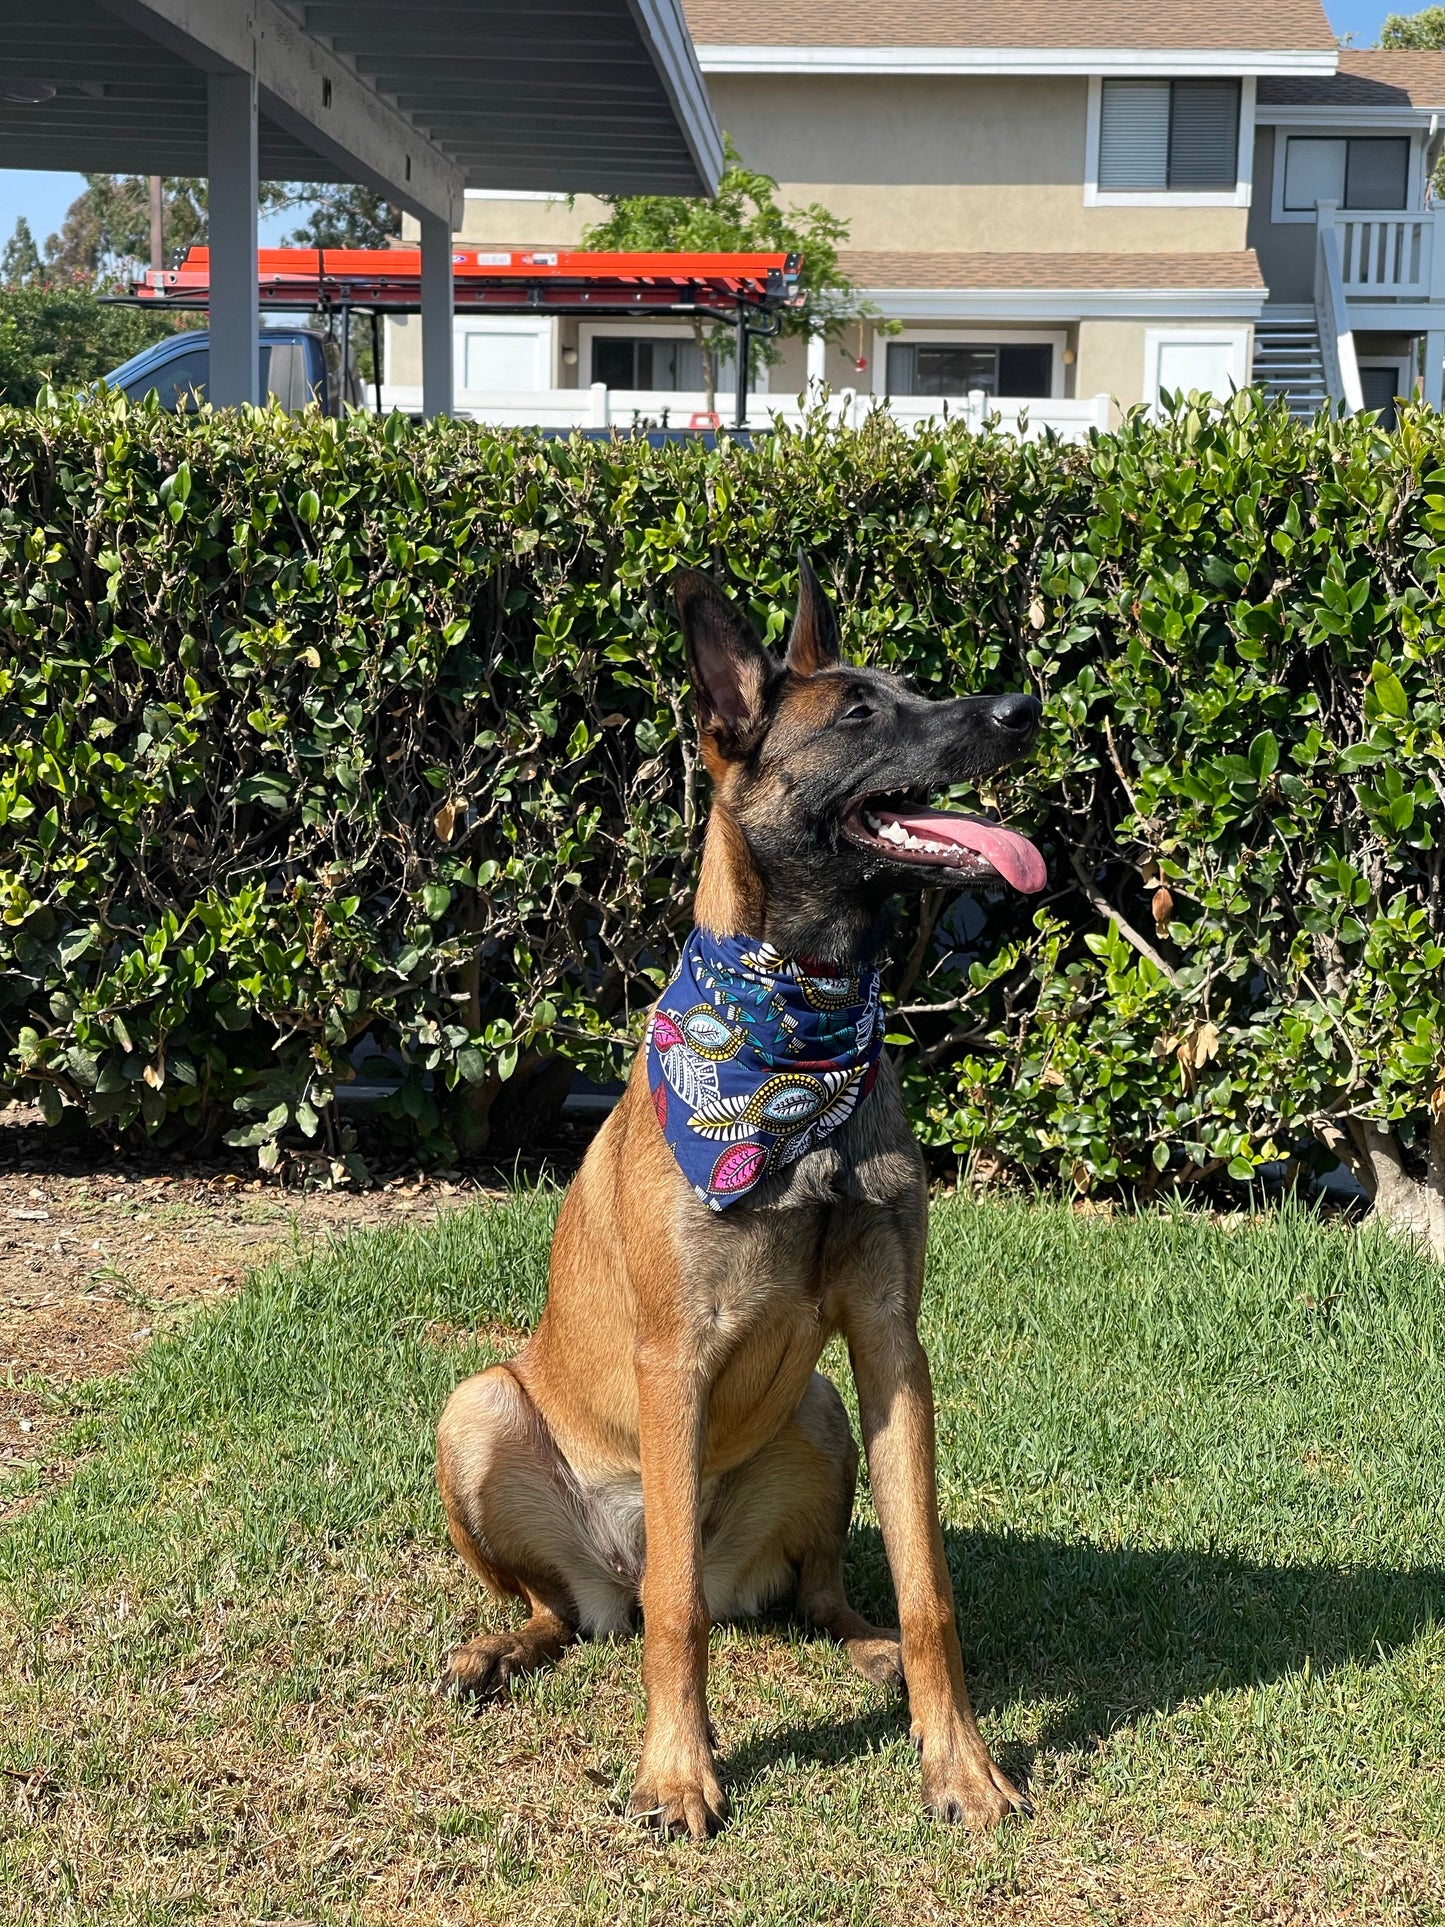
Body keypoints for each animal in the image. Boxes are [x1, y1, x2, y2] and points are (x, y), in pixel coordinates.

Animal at [435, 558, 1048, 1834]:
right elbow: (677, 1619)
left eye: (914, 686)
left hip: (818, 1410)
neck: (793, 1037)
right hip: (476, 1409)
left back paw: (866, 1650)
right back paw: (499, 1650)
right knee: (594, 1605)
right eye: (859, 713)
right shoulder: (675, 1357)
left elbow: (927, 1588)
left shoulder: (888, 1344)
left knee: (815, 1592)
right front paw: (677, 1771)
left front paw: (958, 1762)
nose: (1021, 708)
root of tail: (607, 1575)